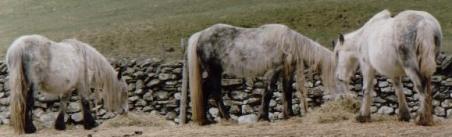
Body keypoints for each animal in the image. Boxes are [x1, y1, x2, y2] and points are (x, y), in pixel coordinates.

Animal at [185, 23, 338, 124]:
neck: (288, 42)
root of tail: (200, 35)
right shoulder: (273, 70)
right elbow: (268, 92)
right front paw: (263, 117)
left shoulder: (287, 71)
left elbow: (287, 91)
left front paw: (289, 115)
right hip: (214, 71)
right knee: (215, 92)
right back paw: (227, 118)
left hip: (214, 72)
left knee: (205, 90)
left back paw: (208, 119)